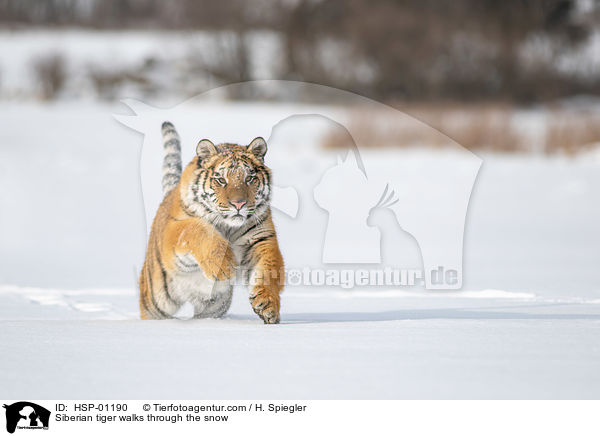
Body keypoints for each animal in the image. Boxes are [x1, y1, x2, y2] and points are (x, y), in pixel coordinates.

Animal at [138, 121, 284, 322]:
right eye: (221, 180)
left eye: (249, 178)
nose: (239, 204)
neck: (229, 226)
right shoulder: (178, 227)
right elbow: (200, 230)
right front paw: (224, 266)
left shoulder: (260, 239)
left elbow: (268, 269)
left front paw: (268, 304)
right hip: (156, 300)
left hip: (214, 306)